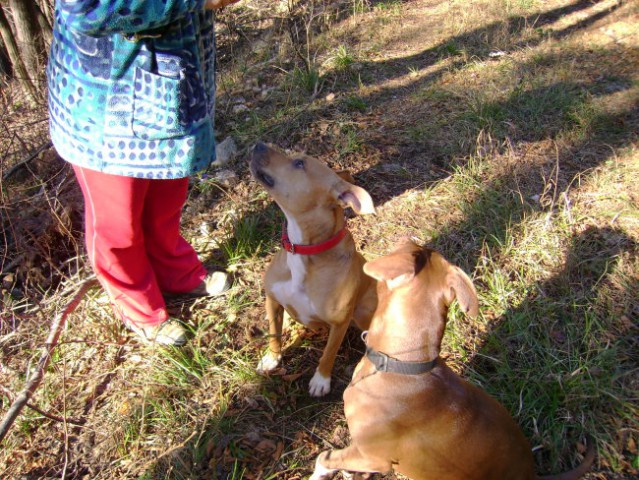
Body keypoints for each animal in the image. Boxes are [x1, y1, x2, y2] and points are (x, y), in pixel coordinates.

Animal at [250, 142, 380, 398]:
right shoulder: (272, 299)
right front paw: (272, 358)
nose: (258, 144)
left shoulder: (339, 324)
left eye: (299, 163)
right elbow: (274, 333)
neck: (303, 251)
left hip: (365, 310)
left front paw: (321, 380)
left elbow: (328, 353)